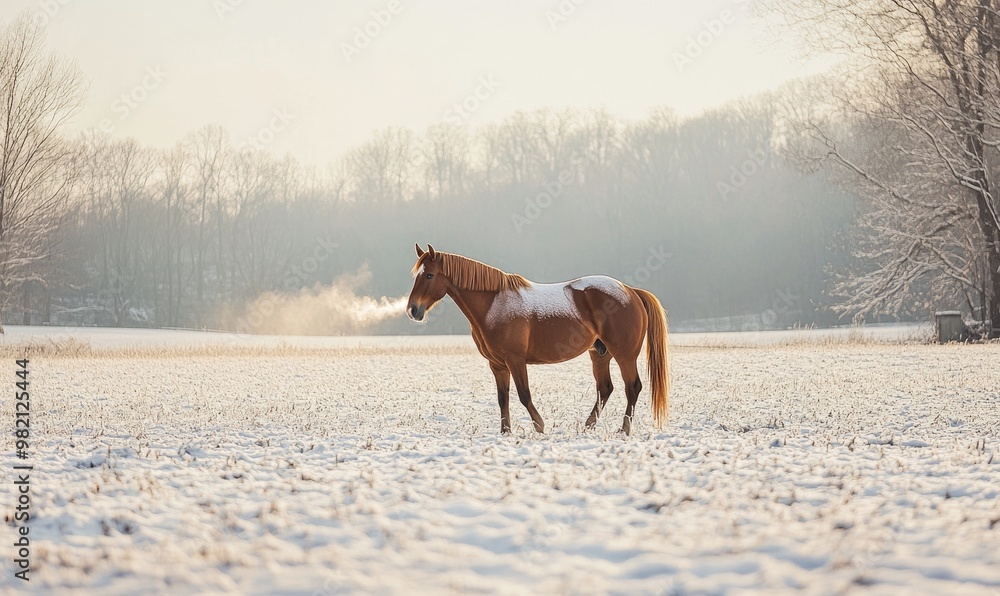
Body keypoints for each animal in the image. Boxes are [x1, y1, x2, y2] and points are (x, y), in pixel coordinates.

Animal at [406, 244, 670, 435]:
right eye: (415, 275)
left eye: (429, 275)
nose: (413, 310)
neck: (494, 303)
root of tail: (630, 291)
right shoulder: (497, 365)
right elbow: (503, 398)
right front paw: (505, 431)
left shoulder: (515, 360)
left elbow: (524, 394)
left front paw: (539, 426)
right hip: (599, 354)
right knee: (605, 389)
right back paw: (588, 425)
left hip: (625, 355)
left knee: (632, 387)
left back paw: (624, 430)